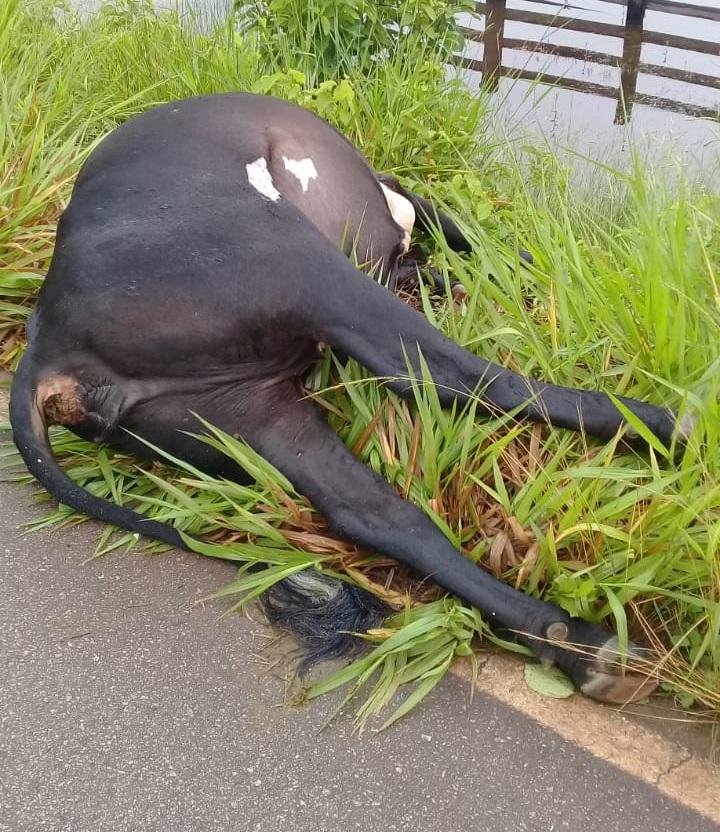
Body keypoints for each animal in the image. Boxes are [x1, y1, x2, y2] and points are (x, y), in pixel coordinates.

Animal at [10, 93, 689, 705]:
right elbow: (484, 254)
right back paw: (664, 424)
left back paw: (573, 643)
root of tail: (46, 343)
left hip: (249, 412)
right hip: (296, 262)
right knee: (445, 375)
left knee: (372, 510)